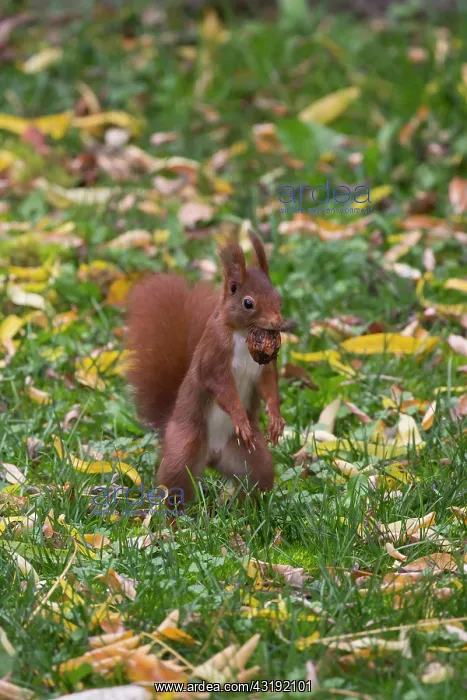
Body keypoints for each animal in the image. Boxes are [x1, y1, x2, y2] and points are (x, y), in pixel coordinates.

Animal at [125, 232, 285, 504]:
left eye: (278, 297)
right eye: (248, 303)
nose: (277, 323)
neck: (242, 335)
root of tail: (213, 456)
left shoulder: (263, 367)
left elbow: (268, 387)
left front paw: (275, 418)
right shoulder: (213, 357)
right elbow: (221, 388)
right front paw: (240, 418)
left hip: (250, 458)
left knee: (257, 480)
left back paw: (249, 506)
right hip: (183, 451)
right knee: (174, 486)